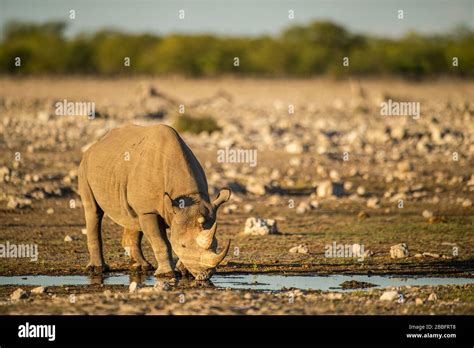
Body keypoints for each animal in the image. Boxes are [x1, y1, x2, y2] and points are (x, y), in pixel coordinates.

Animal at [78, 123, 231, 282]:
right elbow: (161, 242)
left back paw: (143, 267)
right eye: (183, 245)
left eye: (216, 244)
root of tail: (97, 144)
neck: (190, 195)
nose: (205, 275)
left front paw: (183, 271)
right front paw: (167, 274)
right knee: (93, 210)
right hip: (85, 166)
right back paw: (97, 269)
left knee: (132, 216)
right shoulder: (149, 211)